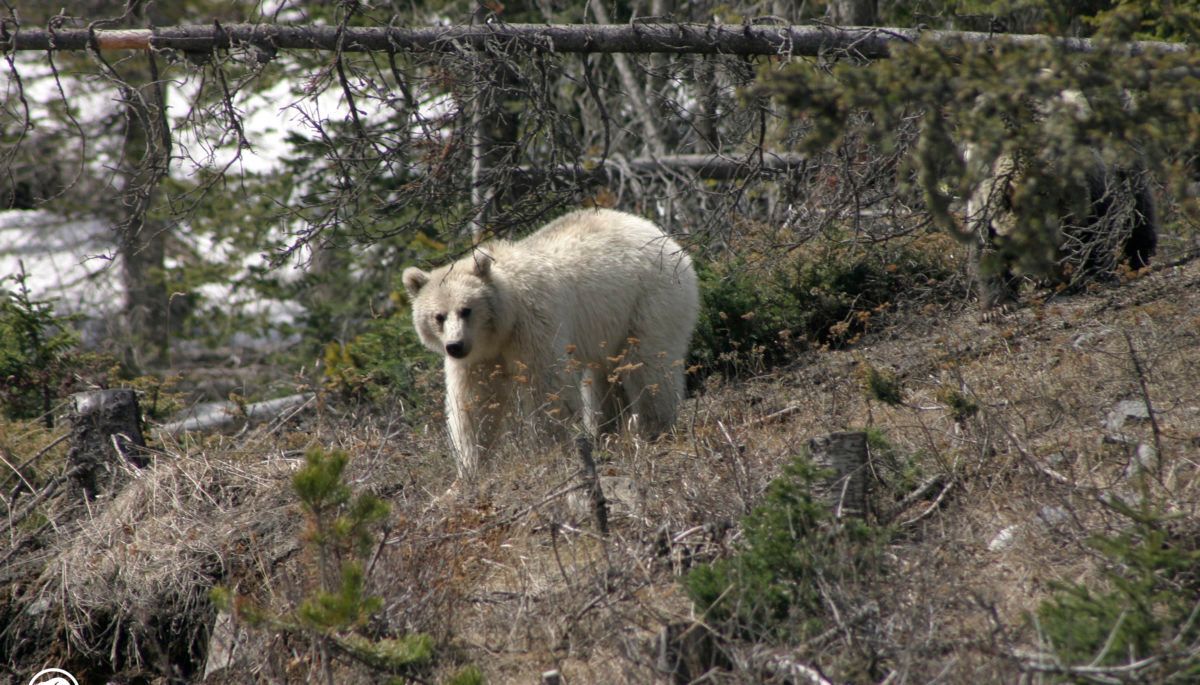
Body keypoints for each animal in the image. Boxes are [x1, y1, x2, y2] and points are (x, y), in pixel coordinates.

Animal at [402, 208, 699, 476]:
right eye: (438, 316)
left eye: (466, 310)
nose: (455, 346)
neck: (503, 325)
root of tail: (665, 237)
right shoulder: (480, 357)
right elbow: (474, 403)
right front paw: (469, 470)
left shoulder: (535, 325)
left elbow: (546, 386)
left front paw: (548, 451)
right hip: (607, 327)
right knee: (603, 382)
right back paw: (604, 432)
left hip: (649, 301)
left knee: (647, 367)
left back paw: (653, 429)